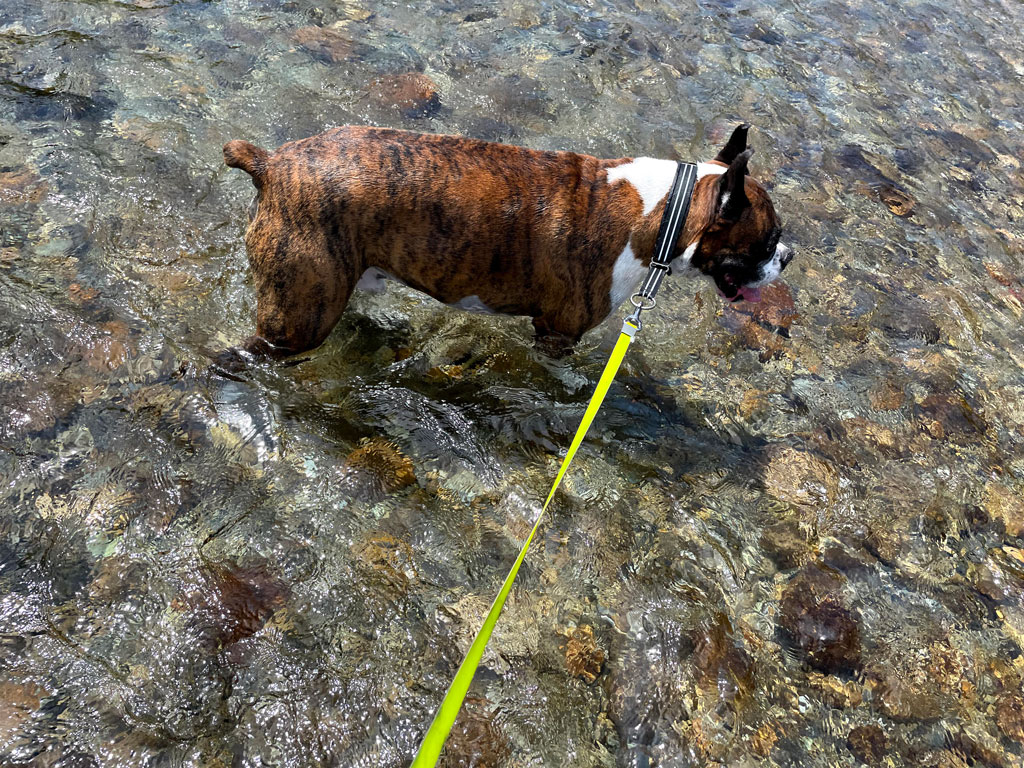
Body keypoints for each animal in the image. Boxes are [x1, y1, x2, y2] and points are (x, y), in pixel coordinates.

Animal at [220, 124, 786, 362]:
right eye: (770, 240)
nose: (790, 255)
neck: (664, 207)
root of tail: (270, 163)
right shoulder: (558, 332)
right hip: (299, 315)